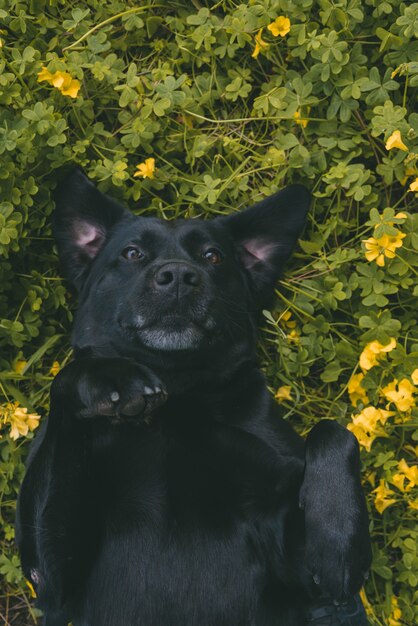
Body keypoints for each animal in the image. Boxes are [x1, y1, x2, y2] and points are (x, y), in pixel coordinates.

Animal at [15, 168, 370, 620]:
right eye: (132, 253)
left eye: (213, 256)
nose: (180, 277)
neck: (179, 399)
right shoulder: (50, 579)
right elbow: (69, 376)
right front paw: (113, 378)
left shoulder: (301, 575)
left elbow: (334, 431)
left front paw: (335, 537)